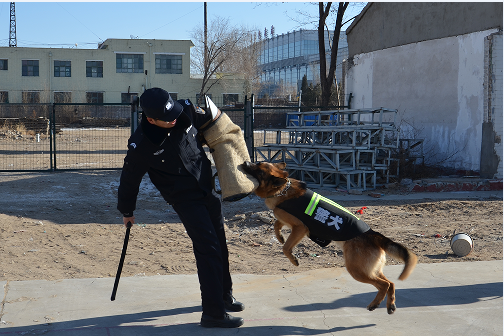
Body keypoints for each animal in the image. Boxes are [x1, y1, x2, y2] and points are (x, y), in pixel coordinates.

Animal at [240, 161, 418, 314]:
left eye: (259, 169)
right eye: (257, 163)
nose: (244, 163)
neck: (283, 188)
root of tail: (373, 235)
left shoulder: (300, 228)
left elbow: (285, 247)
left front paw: (293, 258)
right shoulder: (285, 219)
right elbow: (276, 225)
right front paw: (280, 237)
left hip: (357, 270)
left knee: (384, 285)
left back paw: (375, 304)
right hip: (371, 269)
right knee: (391, 283)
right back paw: (390, 305)